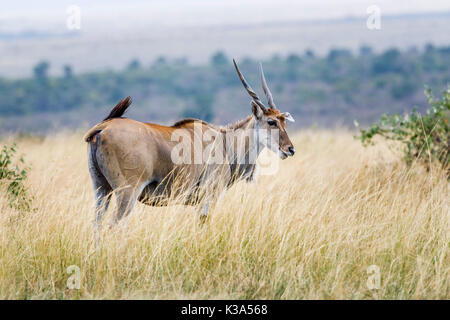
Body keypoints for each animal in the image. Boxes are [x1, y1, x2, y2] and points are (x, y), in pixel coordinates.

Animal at [84, 60, 296, 225]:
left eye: (284, 121)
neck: (225, 143)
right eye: (271, 122)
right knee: (114, 225)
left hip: (101, 190)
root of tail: (103, 128)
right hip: (127, 193)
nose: (290, 149)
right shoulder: (209, 198)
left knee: (96, 224)